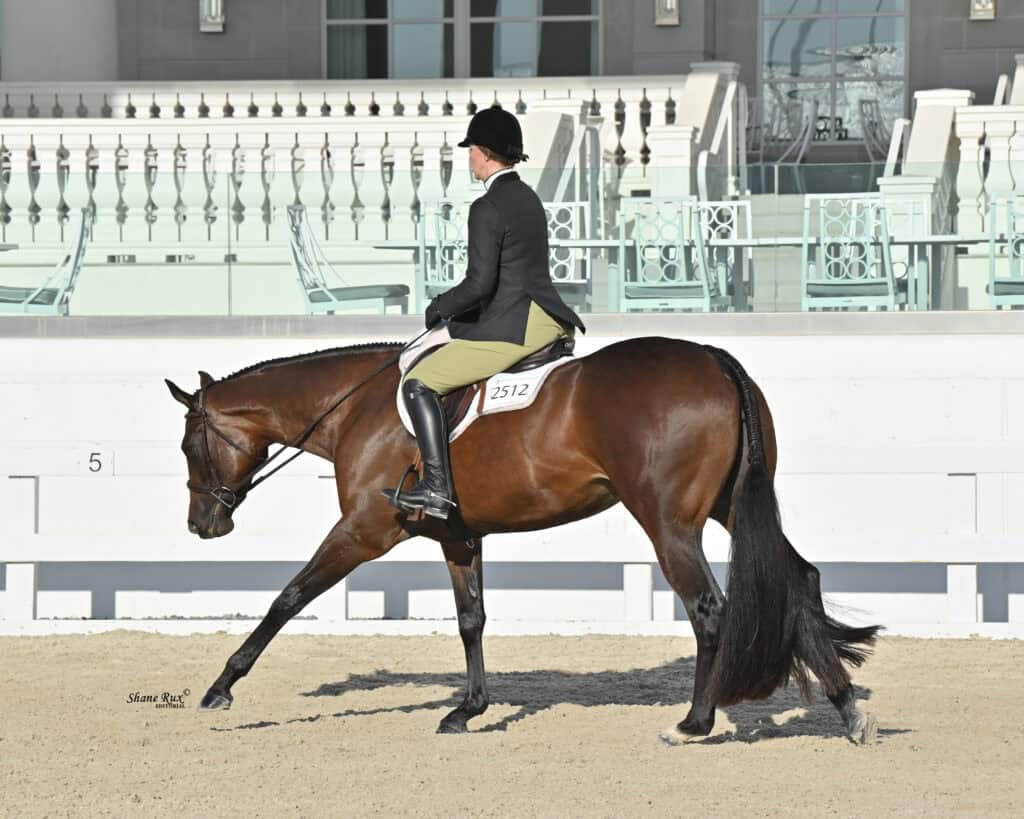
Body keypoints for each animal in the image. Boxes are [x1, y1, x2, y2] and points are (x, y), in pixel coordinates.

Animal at [164, 336, 880, 743]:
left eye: (189, 445)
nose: (203, 523)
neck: (355, 409)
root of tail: (715, 359)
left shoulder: (363, 531)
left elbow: (287, 598)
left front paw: (221, 687)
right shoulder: (458, 535)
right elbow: (471, 620)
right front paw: (468, 710)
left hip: (669, 522)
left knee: (710, 610)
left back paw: (696, 723)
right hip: (733, 506)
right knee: (800, 580)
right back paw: (847, 710)